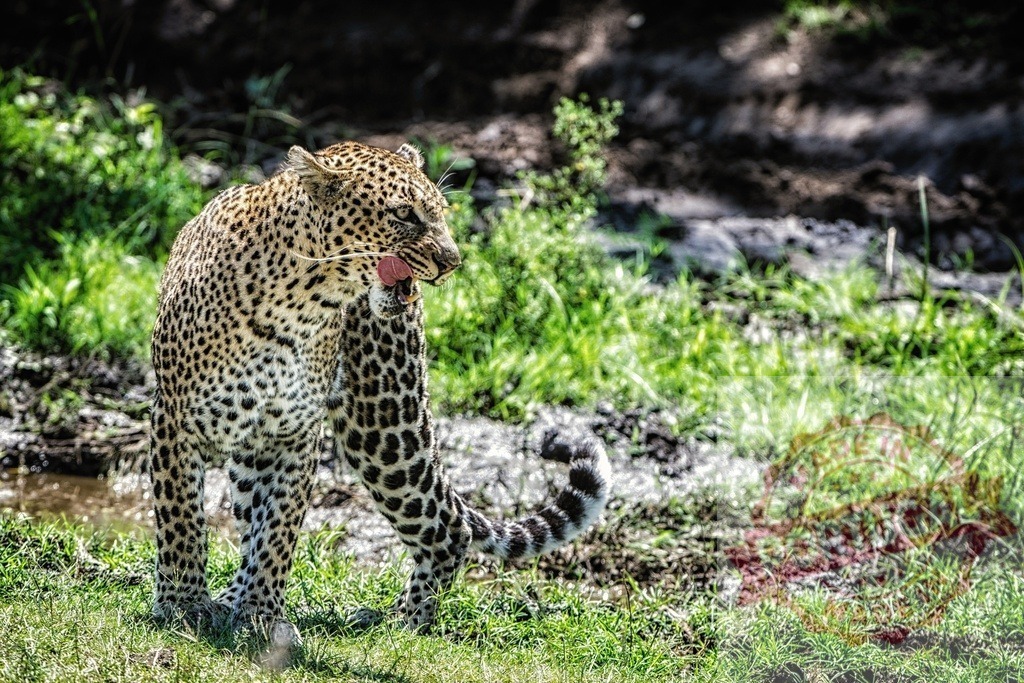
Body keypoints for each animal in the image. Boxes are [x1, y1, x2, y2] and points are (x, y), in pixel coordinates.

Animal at [149, 140, 461, 644]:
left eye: (439, 212)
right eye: (404, 213)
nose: (453, 261)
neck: (298, 306)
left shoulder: (293, 434)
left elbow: (279, 529)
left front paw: (260, 613)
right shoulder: (174, 417)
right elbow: (181, 518)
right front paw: (184, 605)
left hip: (382, 426)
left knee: (450, 529)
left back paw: (401, 622)